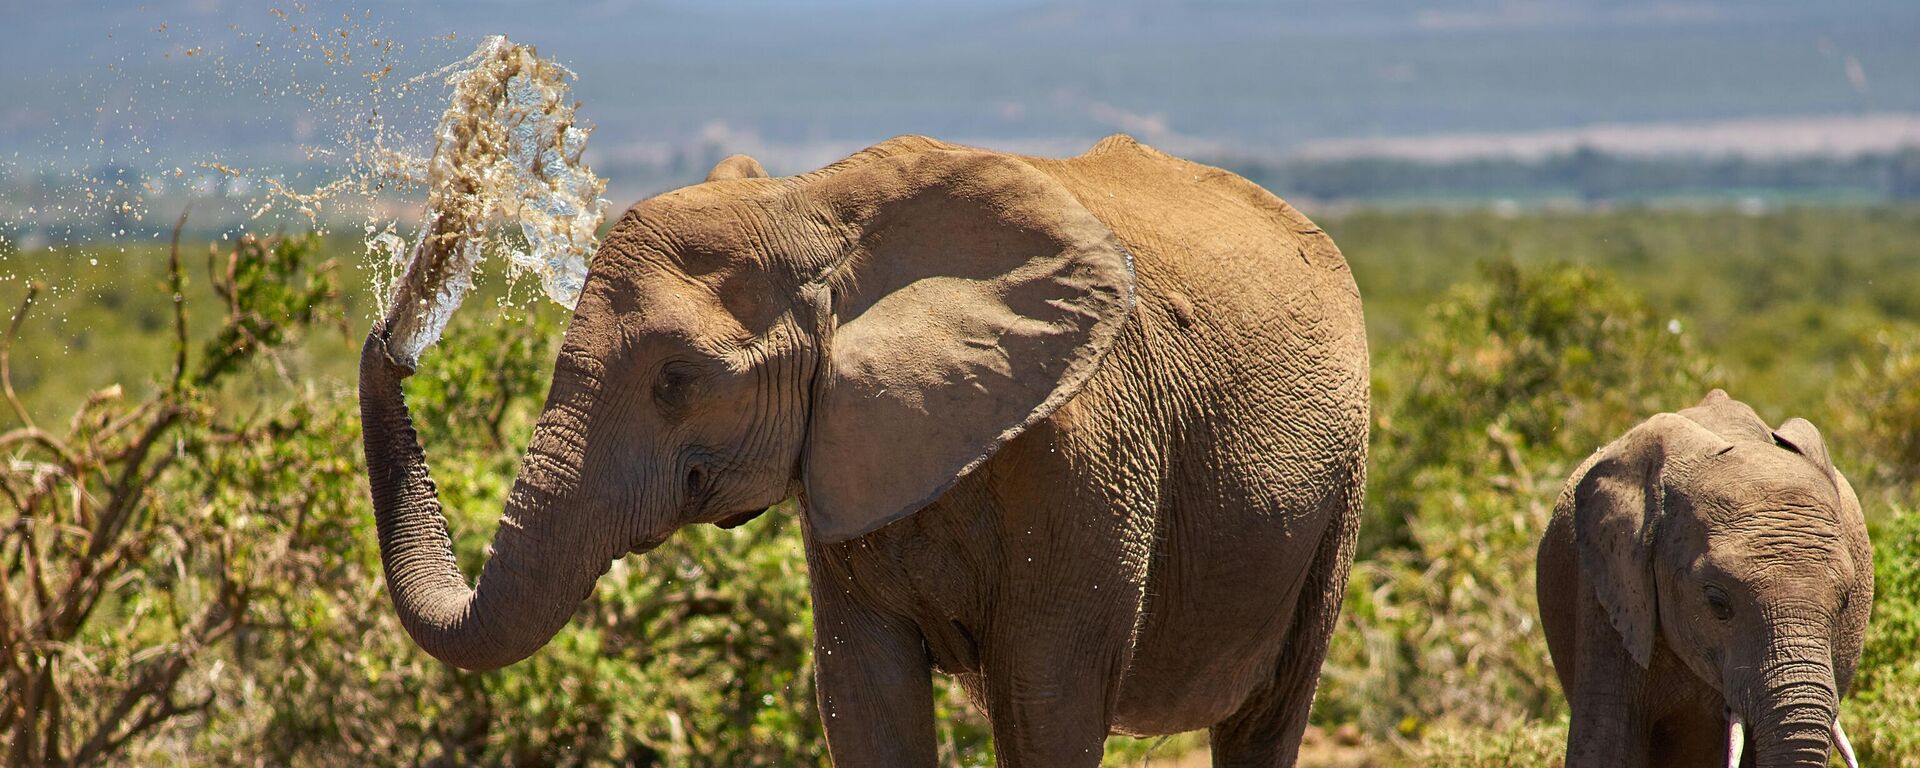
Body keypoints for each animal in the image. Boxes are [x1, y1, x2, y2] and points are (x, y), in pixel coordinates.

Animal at [360, 135, 1374, 764]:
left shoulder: (1090, 458)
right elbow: (864, 699)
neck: (814, 208)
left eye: (677, 380)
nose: (397, 336)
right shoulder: (843, 458)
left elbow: (1048, 705)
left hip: (1339, 488)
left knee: (1269, 715)